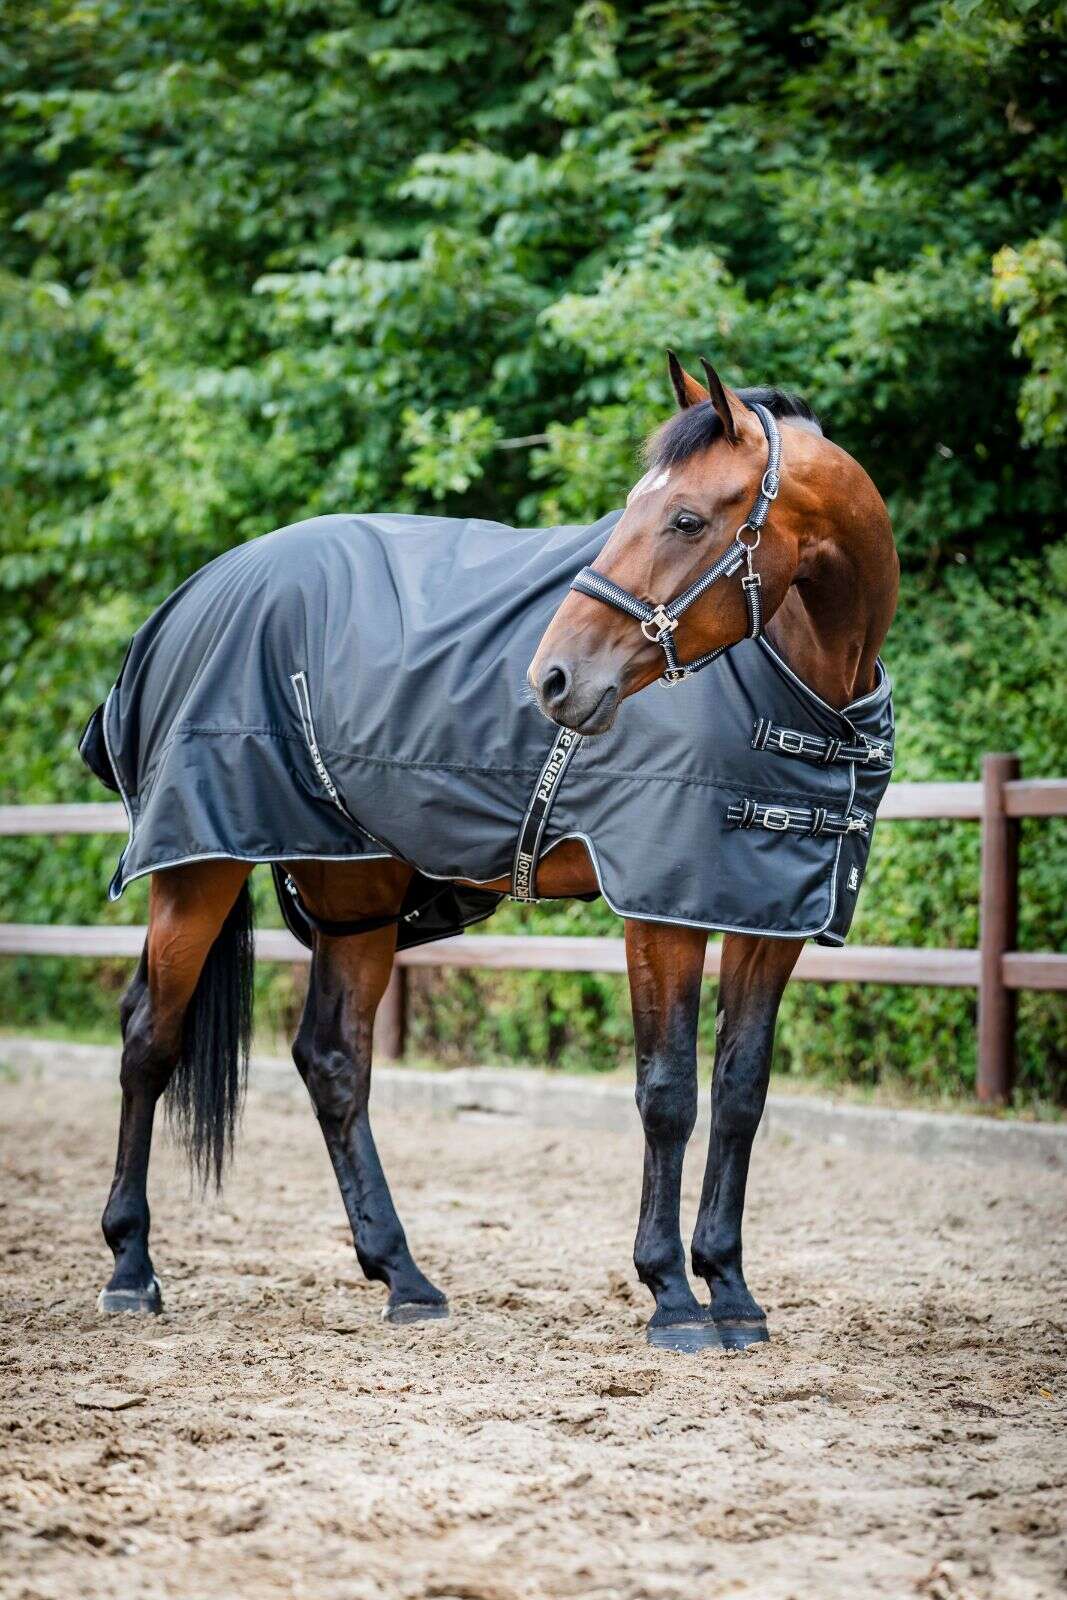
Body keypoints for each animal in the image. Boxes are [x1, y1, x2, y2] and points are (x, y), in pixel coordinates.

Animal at [89, 354, 897, 1352]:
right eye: (634, 510)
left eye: (684, 518)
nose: (552, 679)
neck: (799, 682)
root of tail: (199, 591)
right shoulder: (660, 913)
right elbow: (668, 1094)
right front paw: (672, 1297)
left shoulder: (765, 915)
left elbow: (741, 1095)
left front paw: (733, 1295)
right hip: (199, 868)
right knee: (148, 1041)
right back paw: (131, 1267)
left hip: (353, 887)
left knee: (333, 1060)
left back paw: (403, 1277)